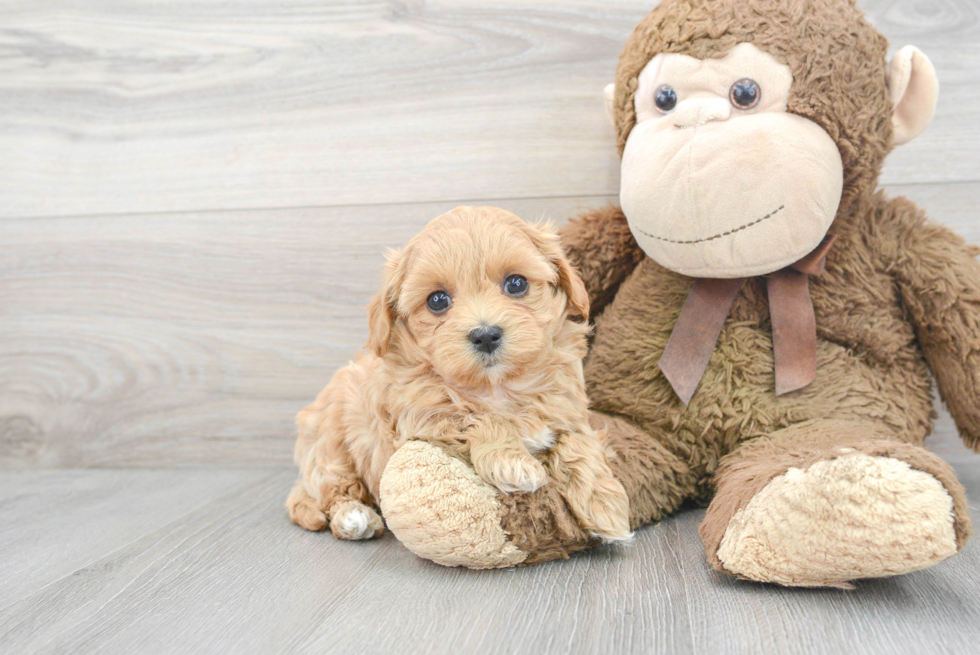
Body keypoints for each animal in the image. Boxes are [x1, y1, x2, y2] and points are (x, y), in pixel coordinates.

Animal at [288, 206, 632, 544]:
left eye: (516, 283)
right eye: (437, 300)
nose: (485, 335)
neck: (497, 387)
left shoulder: (568, 412)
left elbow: (578, 444)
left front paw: (605, 506)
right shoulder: (421, 420)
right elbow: (478, 418)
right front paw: (513, 463)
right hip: (331, 445)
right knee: (330, 489)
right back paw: (353, 516)